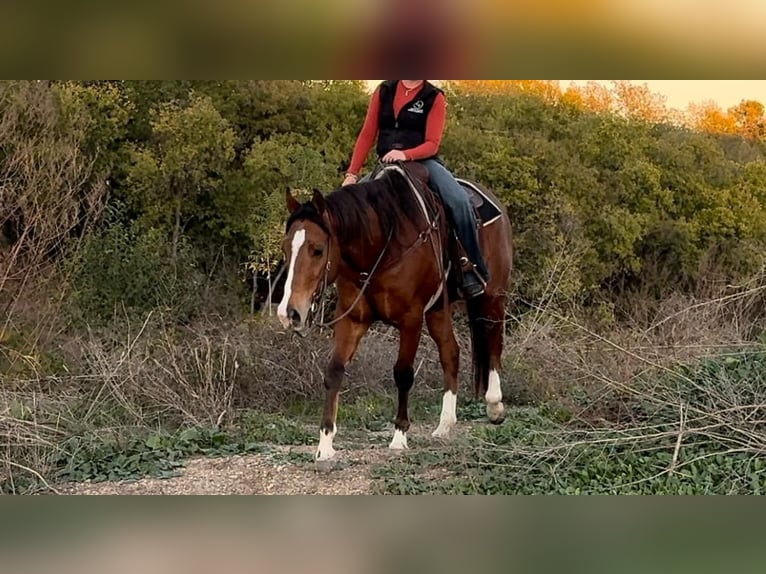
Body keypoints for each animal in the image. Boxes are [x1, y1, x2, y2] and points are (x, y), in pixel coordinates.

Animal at [278, 162, 513, 465]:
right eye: (286, 248)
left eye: (317, 250)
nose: (289, 312)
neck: (381, 243)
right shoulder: (352, 319)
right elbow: (334, 371)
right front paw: (325, 444)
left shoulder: (410, 319)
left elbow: (403, 373)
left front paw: (399, 436)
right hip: (438, 309)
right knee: (451, 351)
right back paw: (445, 424)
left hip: (493, 295)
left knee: (494, 341)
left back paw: (495, 406)